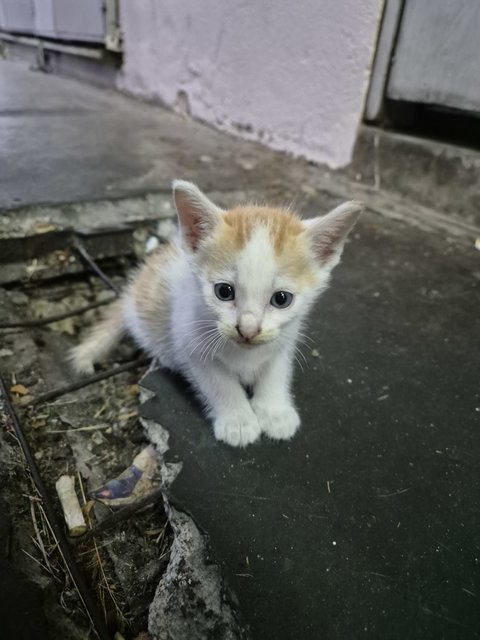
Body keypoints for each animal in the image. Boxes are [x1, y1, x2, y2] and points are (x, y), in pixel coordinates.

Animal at [71, 180, 362, 444]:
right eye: (224, 291)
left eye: (281, 299)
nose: (247, 330)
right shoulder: (192, 345)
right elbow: (221, 385)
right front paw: (239, 422)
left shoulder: (283, 340)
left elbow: (275, 372)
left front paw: (275, 412)